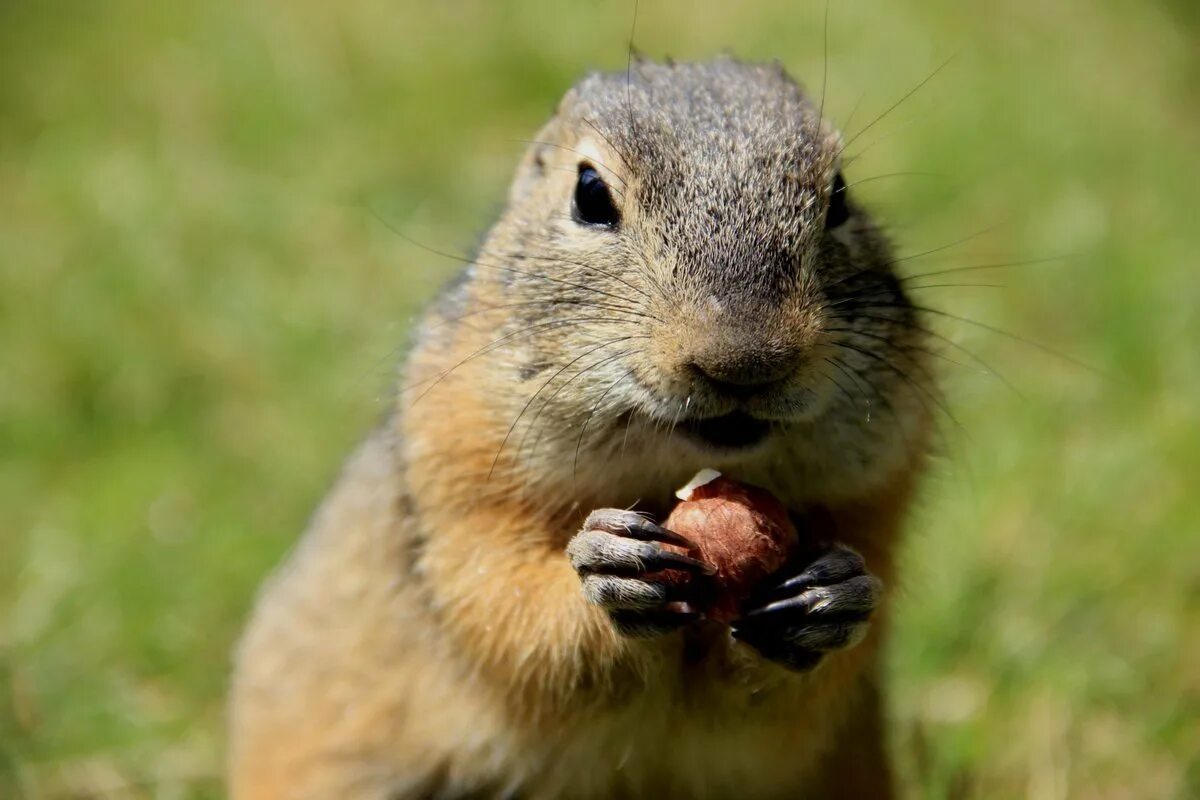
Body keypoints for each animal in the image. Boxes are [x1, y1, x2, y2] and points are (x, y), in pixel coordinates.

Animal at [229, 57, 931, 800]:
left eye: (840, 195)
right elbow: (508, 608)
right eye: (589, 193)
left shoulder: (878, 494)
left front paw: (834, 595)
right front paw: (605, 567)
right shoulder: (456, 476)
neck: (664, 466)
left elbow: (786, 701)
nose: (747, 361)